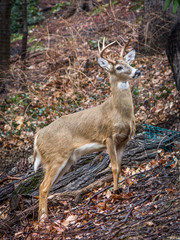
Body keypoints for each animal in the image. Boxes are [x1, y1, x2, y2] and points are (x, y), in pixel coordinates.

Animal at [33, 36, 141, 220]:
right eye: (118, 67)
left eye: (128, 62)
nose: (137, 71)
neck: (119, 113)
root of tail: (37, 137)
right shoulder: (108, 137)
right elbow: (113, 167)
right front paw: (115, 192)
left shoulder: (124, 140)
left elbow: (120, 166)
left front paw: (119, 189)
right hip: (55, 157)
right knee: (43, 186)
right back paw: (43, 219)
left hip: (66, 160)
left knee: (46, 186)